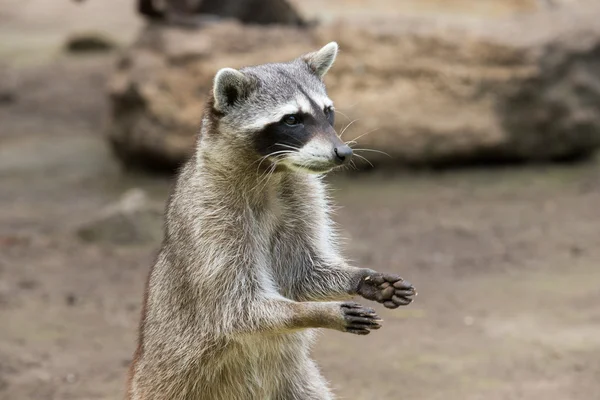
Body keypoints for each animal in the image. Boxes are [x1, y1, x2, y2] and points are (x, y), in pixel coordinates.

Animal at [127, 42, 414, 398]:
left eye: (327, 111)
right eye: (292, 119)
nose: (343, 153)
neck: (272, 172)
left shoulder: (301, 194)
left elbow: (305, 271)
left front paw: (361, 278)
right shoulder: (210, 213)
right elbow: (237, 306)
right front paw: (317, 312)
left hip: (295, 381)